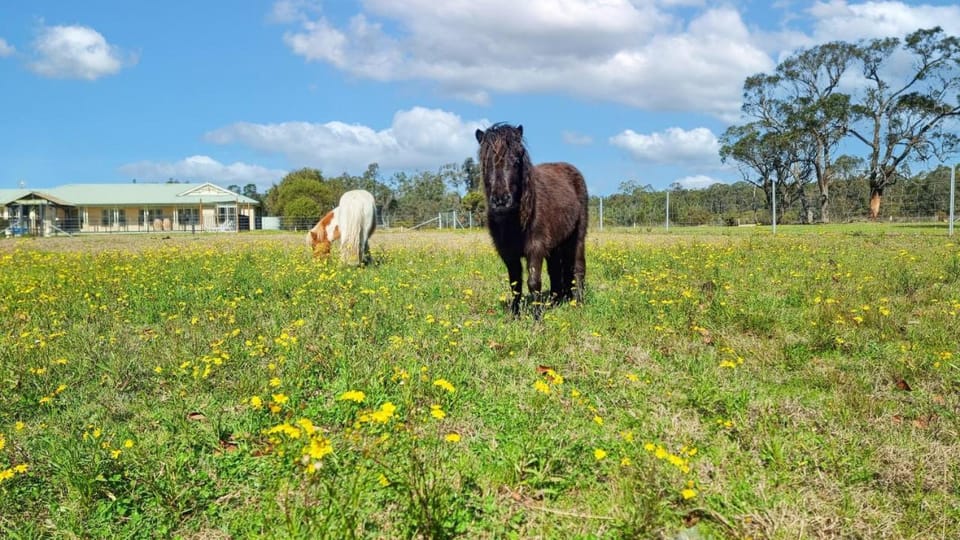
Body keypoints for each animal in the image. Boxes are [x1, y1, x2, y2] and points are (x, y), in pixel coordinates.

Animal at [475, 123, 588, 317]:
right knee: (555, 271)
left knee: (578, 267)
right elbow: (515, 284)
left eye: (516, 161)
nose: (501, 201)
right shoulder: (508, 253)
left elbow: (533, 282)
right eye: (485, 163)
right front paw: (514, 315)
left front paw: (537, 318)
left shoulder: (535, 248)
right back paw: (555, 302)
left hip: (577, 238)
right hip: (555, 245)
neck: (514, 220)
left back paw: (578, 303)